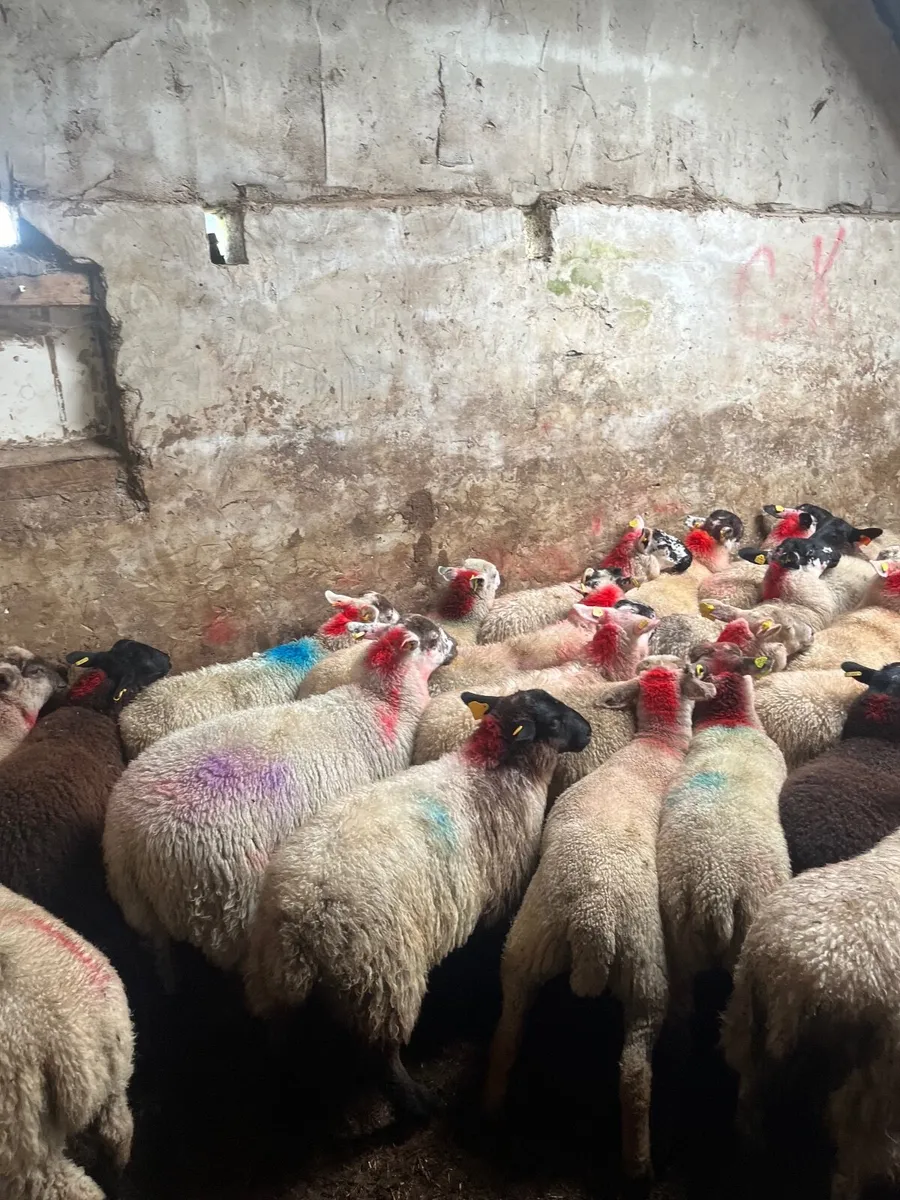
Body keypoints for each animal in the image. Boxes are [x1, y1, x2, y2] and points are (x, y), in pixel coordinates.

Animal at [103, 618, 457, 973]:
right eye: (433, 639)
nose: (456, 646)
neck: (381, 700)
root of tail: (127, 841)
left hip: (143, 914)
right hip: (222, 907)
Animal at [243, 688, 591, 1121]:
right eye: (555, 723)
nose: (588, 730)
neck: (490, 770)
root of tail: (298, 920)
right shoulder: (502, 895)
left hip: (274, 984)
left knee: (280, 1040)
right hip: (382, 979)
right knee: (381, 1057)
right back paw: (418, 1104)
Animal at [483, 659, 715, 1182]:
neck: (657, 746)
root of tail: (592, 924)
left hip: (525, 950)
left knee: (507, 1034)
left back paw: (494, 1107)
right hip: (645, 977)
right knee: (634, 1075)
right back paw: (639, 1163)